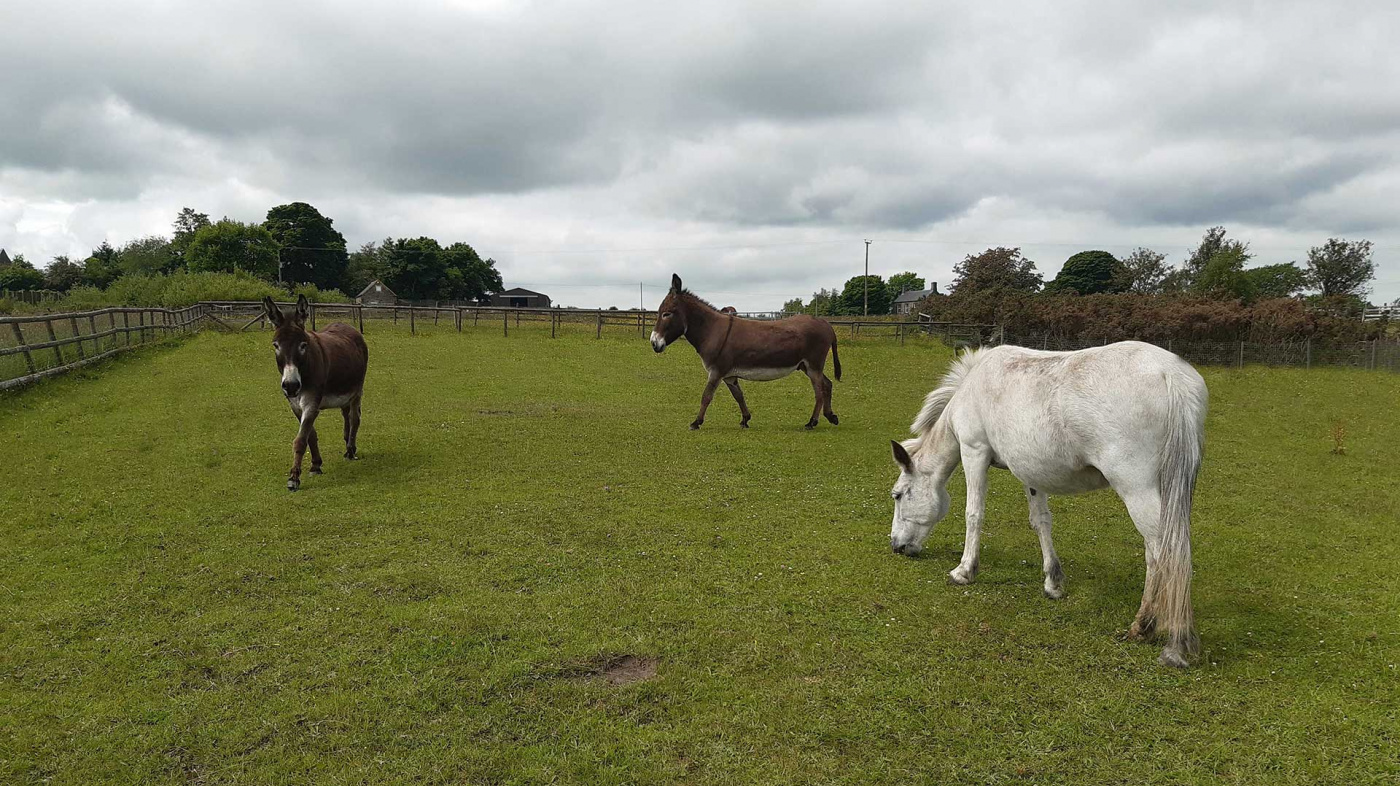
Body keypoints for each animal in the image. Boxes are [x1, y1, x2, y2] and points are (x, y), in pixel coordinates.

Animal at [890, 340, 1209, 664]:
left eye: (898, 494)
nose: (896, 545)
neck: (973, 385)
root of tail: (1170, 375)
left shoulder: (974, 452)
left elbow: (974, 514)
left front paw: (964, 571)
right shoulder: (1029, 471)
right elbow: (1040, 521)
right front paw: (1053, 582)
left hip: (1137, 489)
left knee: (1163, 552)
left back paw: (1162, 636)